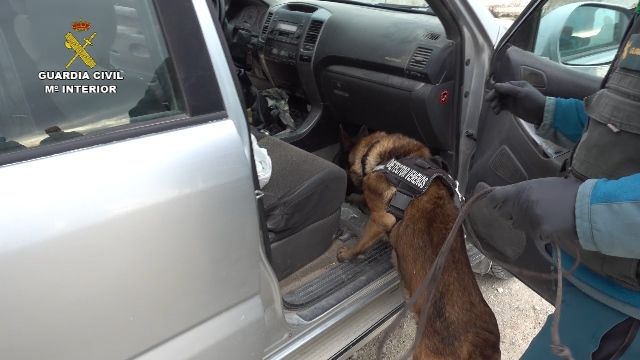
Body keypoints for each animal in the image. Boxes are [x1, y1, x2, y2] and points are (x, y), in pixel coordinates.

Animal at [338, 132, 502, 360]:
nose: (345, 186)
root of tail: (479, 347)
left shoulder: (382, 218)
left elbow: (362, 242)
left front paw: (347, 253)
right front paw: (355, 198)